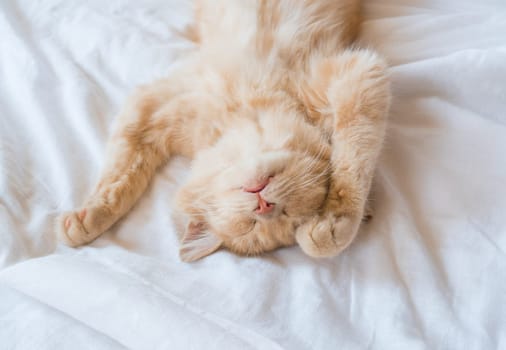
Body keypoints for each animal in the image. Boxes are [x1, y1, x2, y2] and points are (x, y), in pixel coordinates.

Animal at [55, 0, 390, 262]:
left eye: (285, 213)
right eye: (249, 224)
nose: (262, 204)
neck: (249, 108)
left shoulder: (360, 73)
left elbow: (353, 165)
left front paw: (335, 221)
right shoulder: (152, 105)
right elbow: (121, 177)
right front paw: (93, 214)